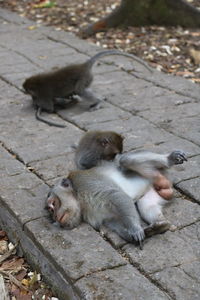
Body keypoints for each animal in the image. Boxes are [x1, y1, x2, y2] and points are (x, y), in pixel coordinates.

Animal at [23, 48, 152, 127]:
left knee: (80, 91)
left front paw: (46, 108)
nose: (24, 92)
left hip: (84, 77)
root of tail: (84, 66)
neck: (37, 83)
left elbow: (50, 108)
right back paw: (100, 98)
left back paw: (98, 101)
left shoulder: (43, 95)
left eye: (25, 90)